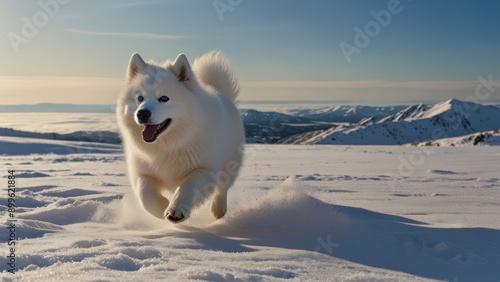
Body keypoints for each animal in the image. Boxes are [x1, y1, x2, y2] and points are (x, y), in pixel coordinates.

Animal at [115, 50, 244, 223]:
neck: (168, 146)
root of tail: (220, 93)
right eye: (140, 98)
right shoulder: (142, 172)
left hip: (230, 163)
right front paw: (161, 207)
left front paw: (175, 210)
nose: (142, 113)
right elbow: (145, 195)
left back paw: (219, 210)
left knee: (223, 188)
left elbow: (187, 188)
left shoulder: (203, 170)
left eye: (164, 98)